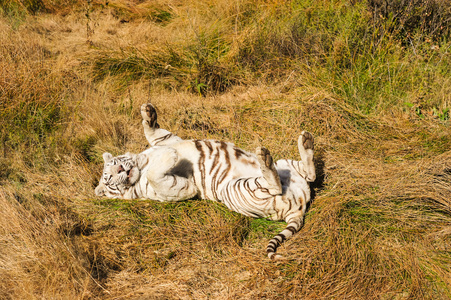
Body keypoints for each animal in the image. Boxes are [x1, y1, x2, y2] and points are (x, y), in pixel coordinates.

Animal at [95, 103, 314, 260]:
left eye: (114, 164)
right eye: (109, 179)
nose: (119, 170)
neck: (141, 166)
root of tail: (298, 209)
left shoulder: (169, 140)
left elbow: (154, 134)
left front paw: (147, 112)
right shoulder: (174, 190)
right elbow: (157, 175)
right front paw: (169, 155)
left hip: (285, 165)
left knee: (310, 174)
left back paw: (305, 141)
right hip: (236, 188)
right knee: (276, 185)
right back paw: (266, 158)